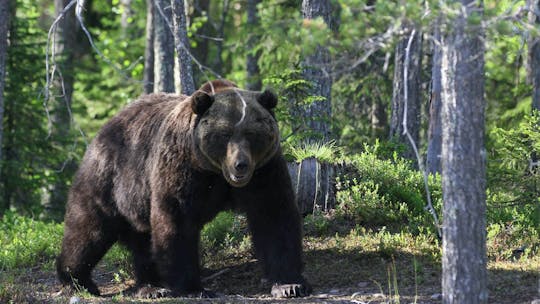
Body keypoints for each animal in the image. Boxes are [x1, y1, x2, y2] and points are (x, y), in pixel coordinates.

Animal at [57, 79, 310, 298]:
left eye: (252, 133)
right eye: (225, 134)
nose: (241, 164)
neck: (216, 171)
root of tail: (105, 127)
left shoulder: (264, 171)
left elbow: (274, 217)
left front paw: (289, 284)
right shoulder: (182, 167)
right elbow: (176, 219)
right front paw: (193, 287)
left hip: (138, 202)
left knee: (143, 242)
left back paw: (151, 286)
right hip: (108, 181)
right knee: (88, 231)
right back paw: (78, 281)